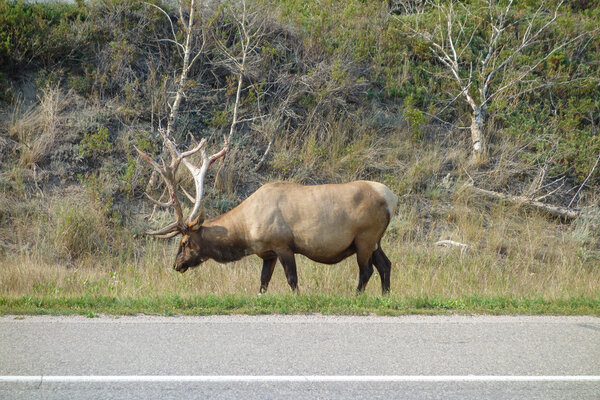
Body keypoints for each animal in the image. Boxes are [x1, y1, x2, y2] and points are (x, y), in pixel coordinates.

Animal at [136, 131, 398, 294]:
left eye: (185, 242)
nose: (176, 265)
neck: (246, 232)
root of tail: (391, 198)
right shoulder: (267, 253)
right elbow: (263, 282)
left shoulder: (283, 245)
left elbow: (292, 280)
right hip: (374, 241)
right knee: (386, 265)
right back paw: (385, 296)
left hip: (365, 238)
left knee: (367, 271)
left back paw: (356, 295)